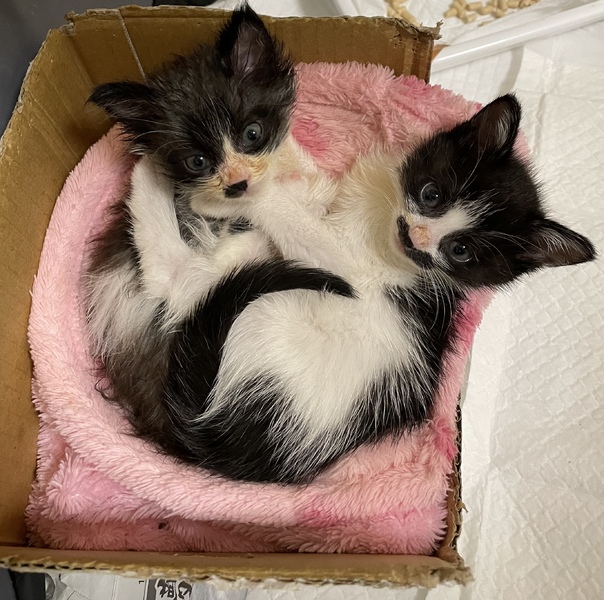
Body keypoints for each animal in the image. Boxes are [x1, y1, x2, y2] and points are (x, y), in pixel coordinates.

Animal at [146, 94, 593, 484]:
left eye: (460, 251)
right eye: (432, 194)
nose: (416, 236)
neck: (378, 220)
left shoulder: (350, 271)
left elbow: (294, 222)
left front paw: (233, 197)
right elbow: (305, 194)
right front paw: (276, 152)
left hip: (267, 321)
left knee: (175, 283)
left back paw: (148, 181)